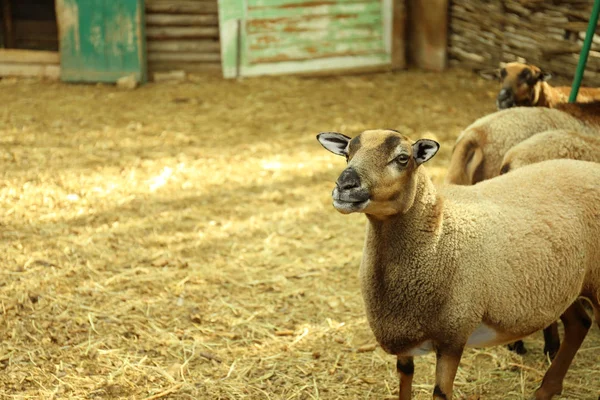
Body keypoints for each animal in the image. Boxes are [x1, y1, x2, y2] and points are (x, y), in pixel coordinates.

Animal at [316, 130, 596, 398]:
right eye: (347, 154)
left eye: (402, 158)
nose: (344, 185)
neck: (440, 229)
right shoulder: (402, 327)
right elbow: (405, 376)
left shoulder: (453, 335)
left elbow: (441, 392)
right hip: (563, 284)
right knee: (579, 323)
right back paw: (547, 390)